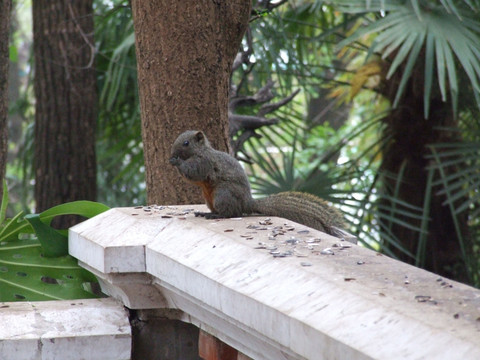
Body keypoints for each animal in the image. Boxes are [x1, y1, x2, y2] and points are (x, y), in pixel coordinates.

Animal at [171, 130, 350, 239]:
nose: (172, 153)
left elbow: (193, 173)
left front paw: (176, 162)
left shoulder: (204, 163)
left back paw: (215, 215)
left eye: (186, 143)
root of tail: (247, 202)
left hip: (223, 193)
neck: (200, 151)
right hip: (209, 198)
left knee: (230, 213)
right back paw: (205, 213)